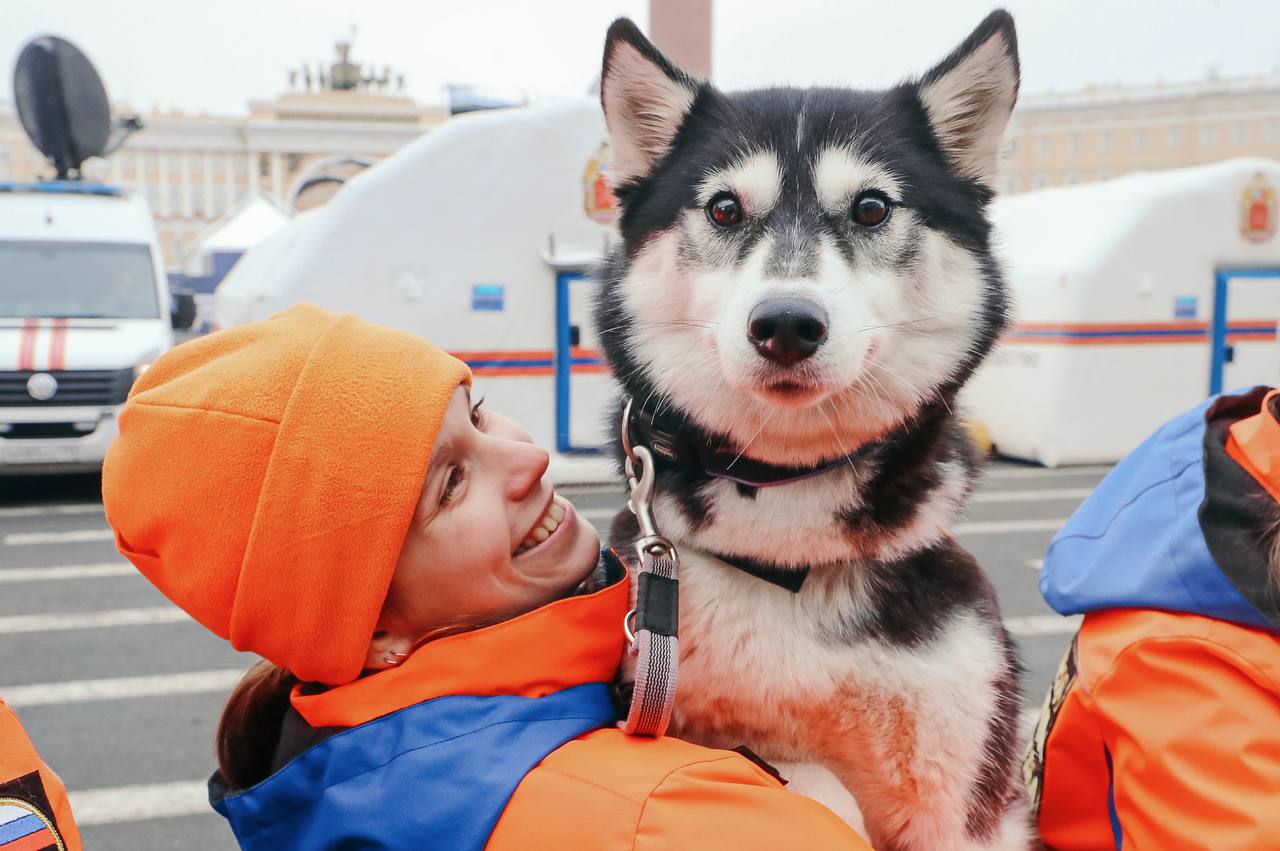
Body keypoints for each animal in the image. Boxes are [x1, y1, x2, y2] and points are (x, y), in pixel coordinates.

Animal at [596, 8, 1029, 849]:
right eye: (724, 208)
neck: (785, 547)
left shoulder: (960, 801)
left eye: (872, 207)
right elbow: (809, 786)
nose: (787, 323)